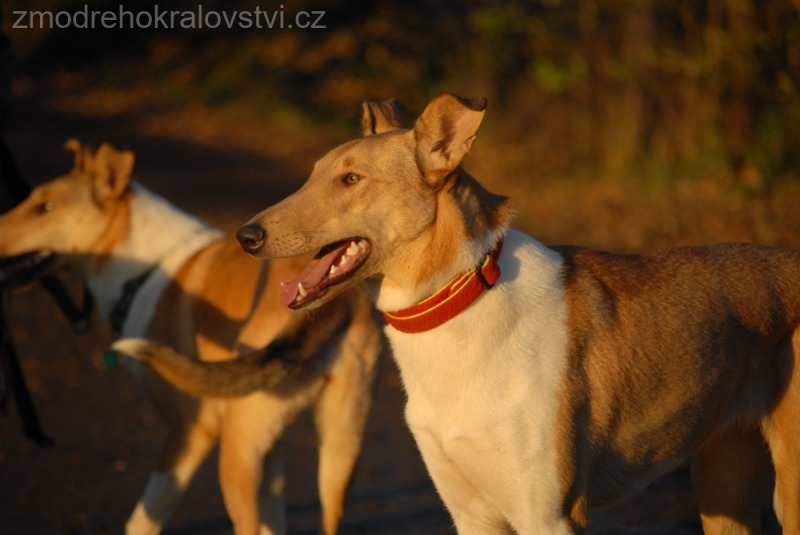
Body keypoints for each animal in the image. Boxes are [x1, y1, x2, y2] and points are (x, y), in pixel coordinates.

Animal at [0, 141, 384, 535]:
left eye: (45, 207)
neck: (145, 267)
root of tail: (333, 302)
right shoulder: (273, 446)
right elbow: (274, 518)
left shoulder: (189, 432)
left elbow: (141, 521)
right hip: (339, 448)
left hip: (237, 453)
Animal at [119, 97, 800, 535]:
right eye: (314, 174)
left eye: (350, 179)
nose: (247, 237)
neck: (458, 311)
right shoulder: (471, 514)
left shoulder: (548, 516)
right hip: (725, 488)